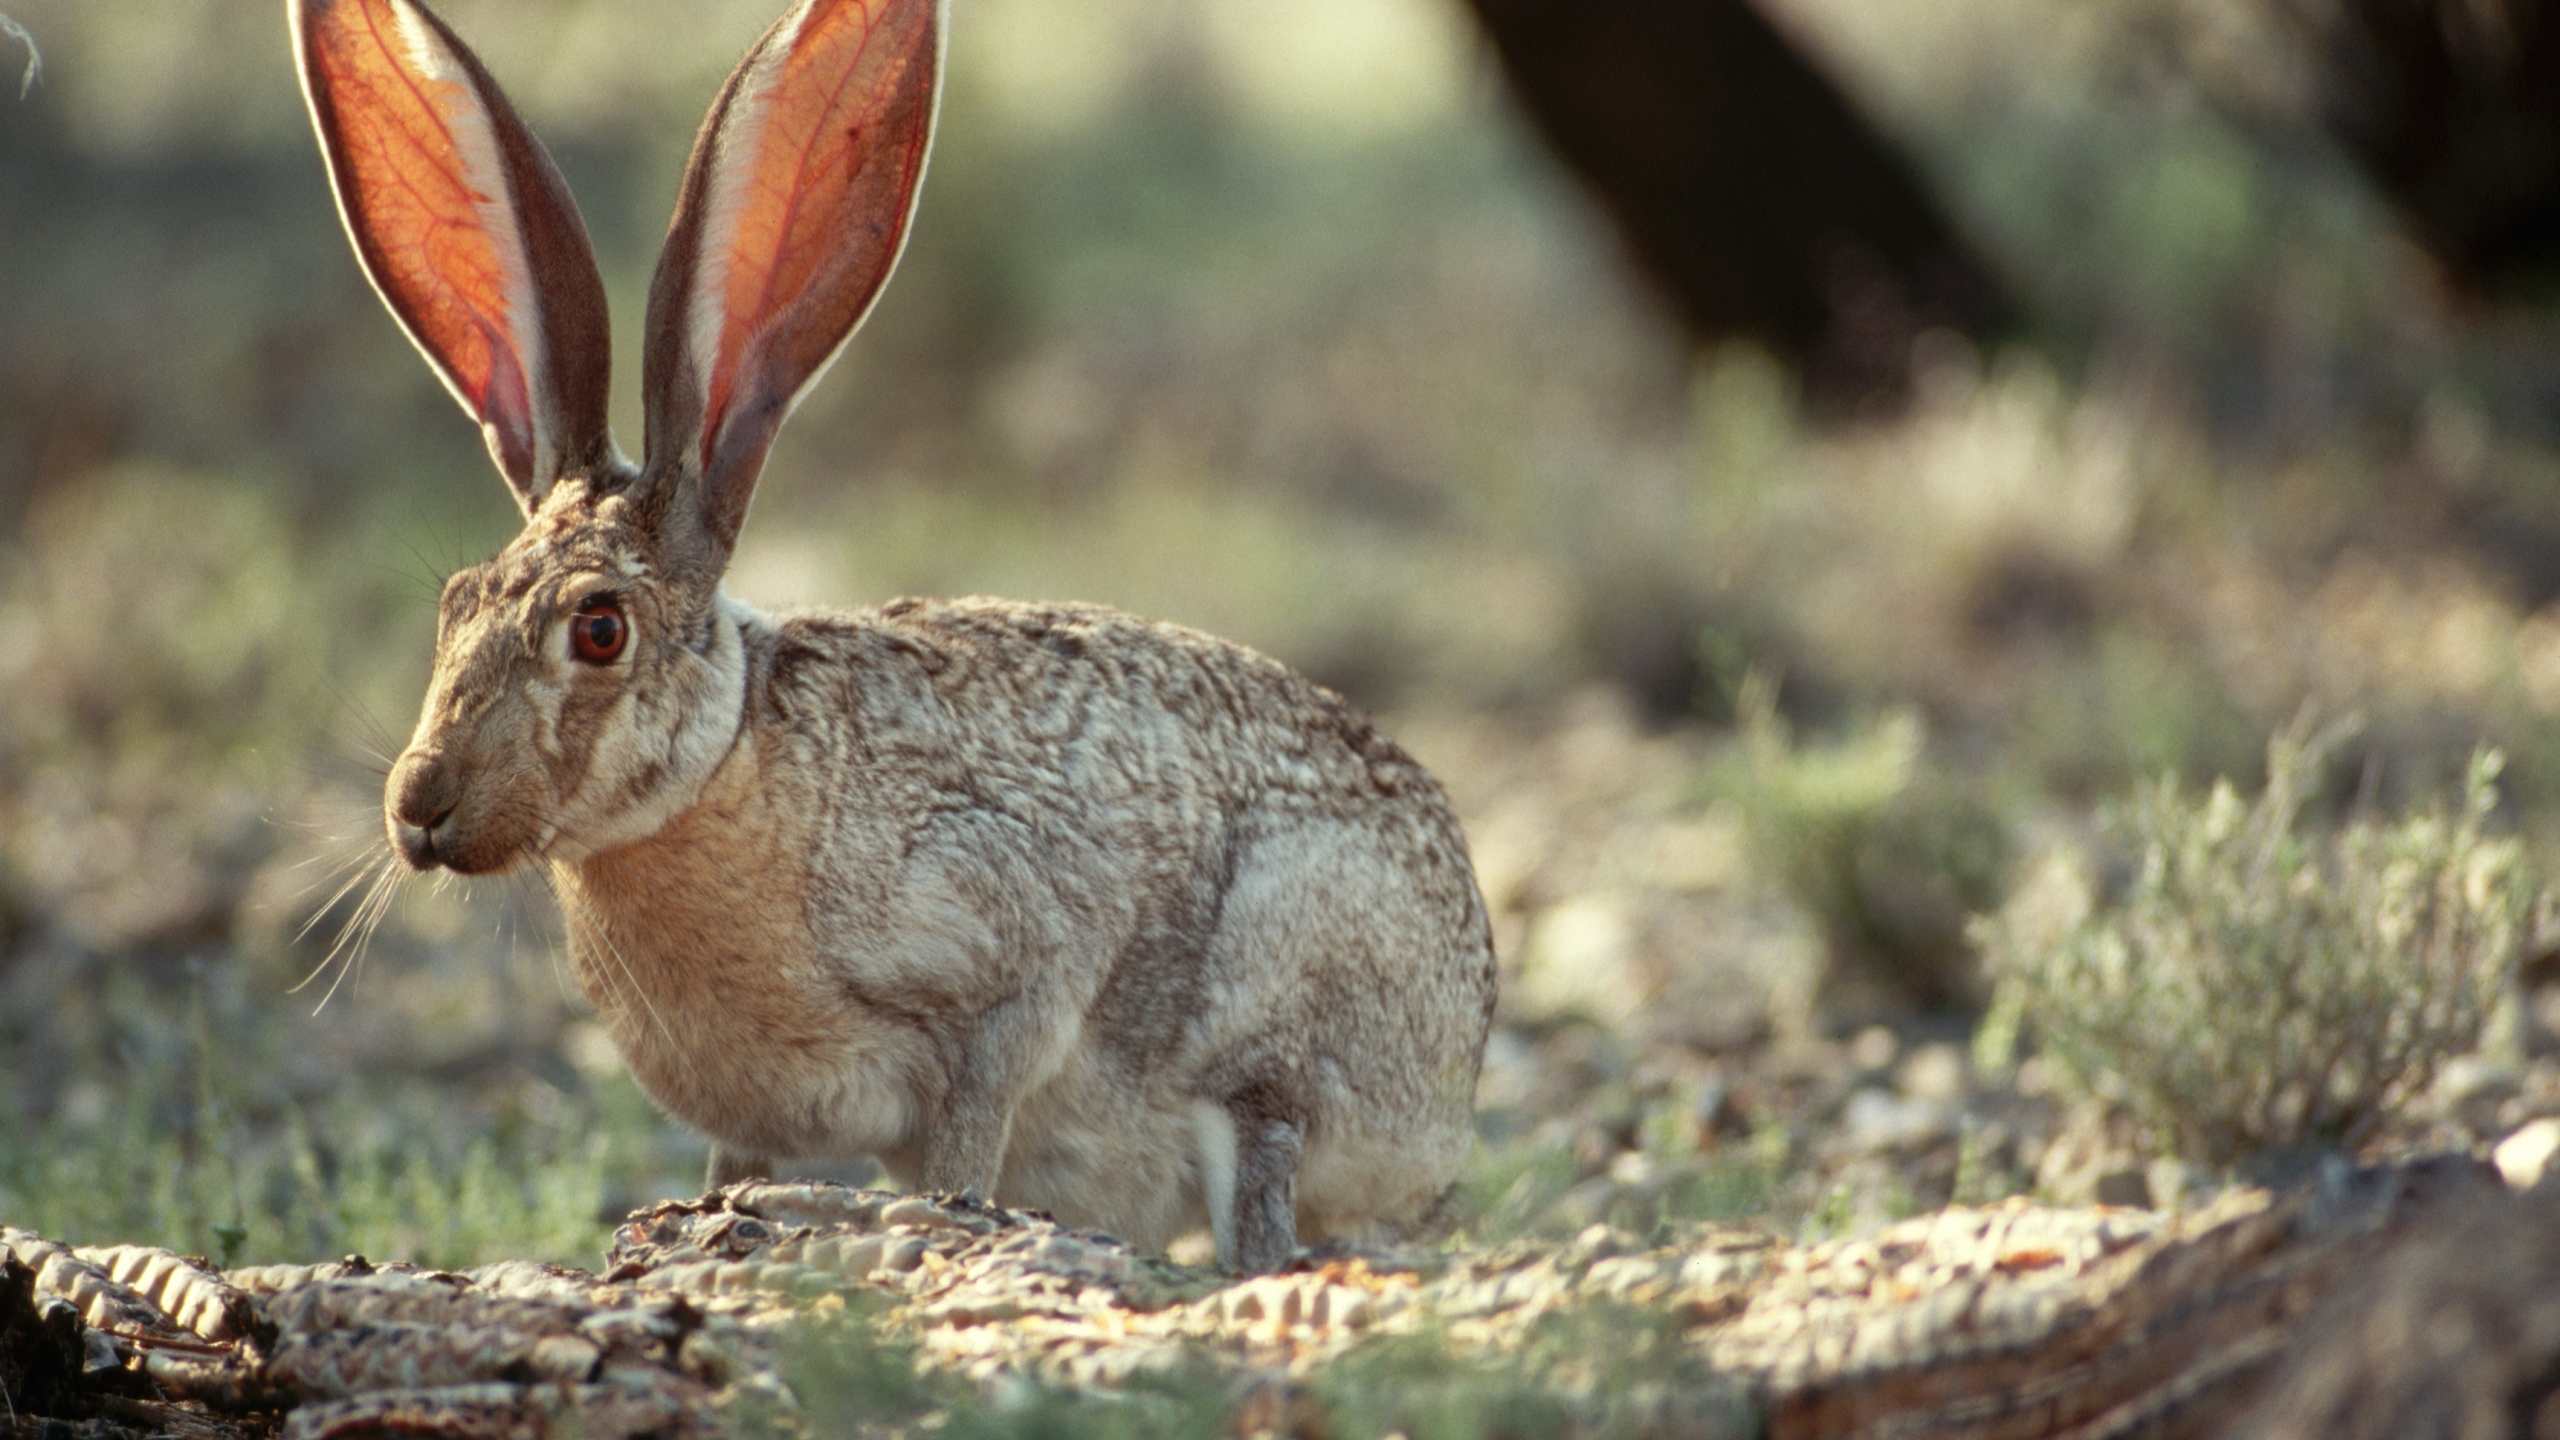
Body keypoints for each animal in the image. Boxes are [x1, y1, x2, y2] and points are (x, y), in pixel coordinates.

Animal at [292, 0, 1498, 1274]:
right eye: (454, 604)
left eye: (600, 628)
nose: (420, 807)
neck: (728, 776)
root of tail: (1456, 1096)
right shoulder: (747, 1116)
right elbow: (730, 1177)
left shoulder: (1005, 963)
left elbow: (972, 1137)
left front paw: (922, 1220)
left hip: (1283, 1011)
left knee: (1262, 1190)